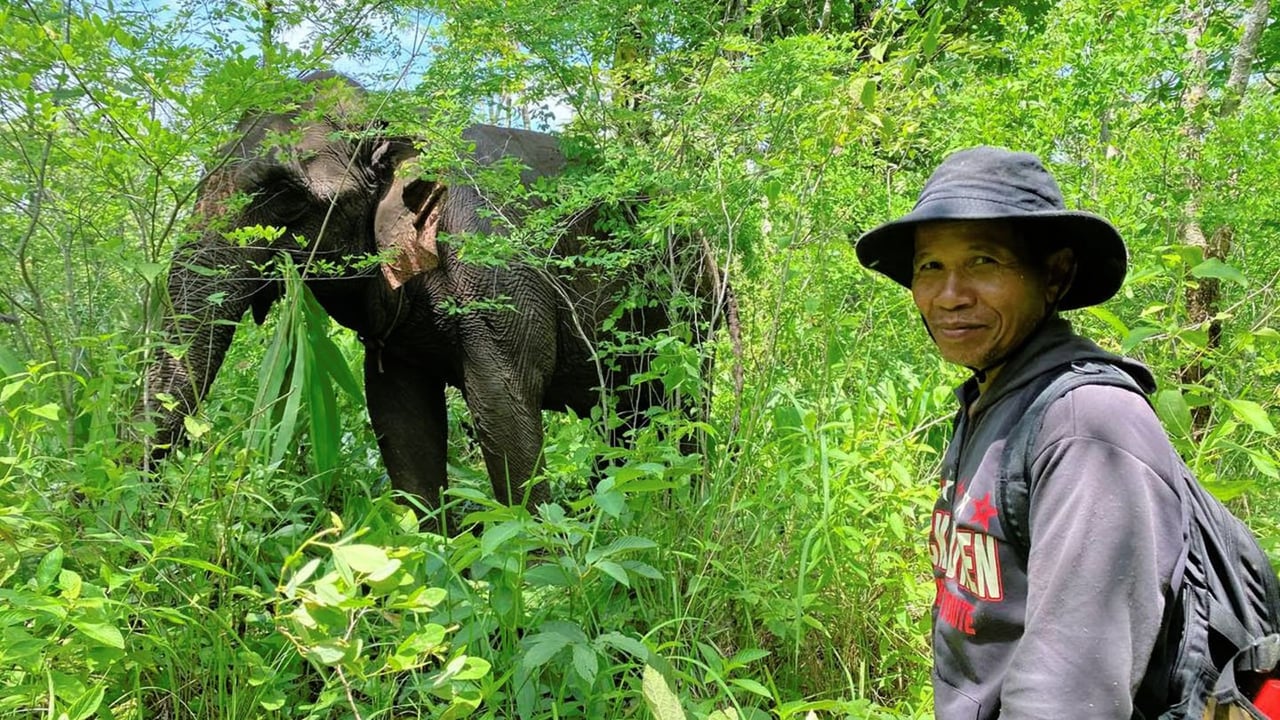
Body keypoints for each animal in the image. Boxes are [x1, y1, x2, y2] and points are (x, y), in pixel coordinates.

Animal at [135, 73, 737, 515]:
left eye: (284, 195)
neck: (396, 113)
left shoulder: (494, 268)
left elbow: (502, 410)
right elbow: (400, 417)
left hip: (692, 308)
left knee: (680, 408)